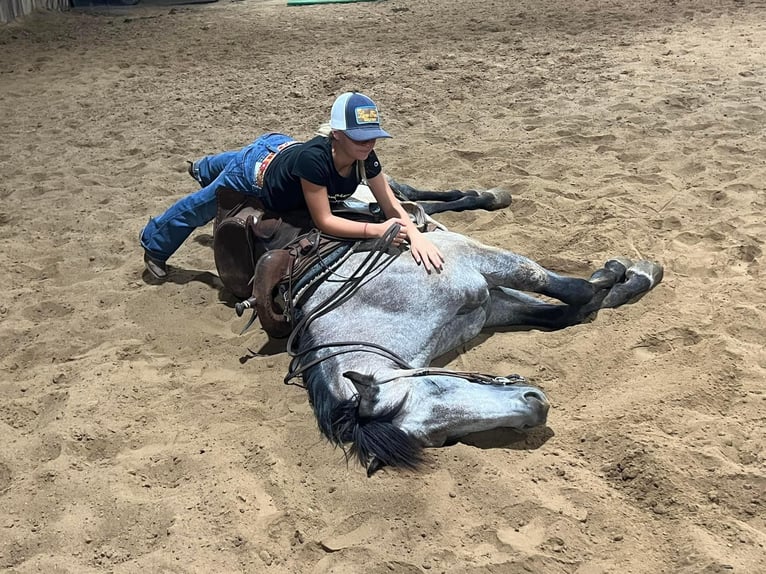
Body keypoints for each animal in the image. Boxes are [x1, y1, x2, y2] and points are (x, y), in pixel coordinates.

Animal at [231, 189, 664, 476]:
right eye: (446, 439)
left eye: (436, 384)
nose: (536, 407)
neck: (375, 302)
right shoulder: (489, 304)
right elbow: (571, 310)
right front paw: (620, 280)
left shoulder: (478, 259)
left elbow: (572, 290)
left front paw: (628, 271)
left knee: (418, 195)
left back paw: (488, 196)